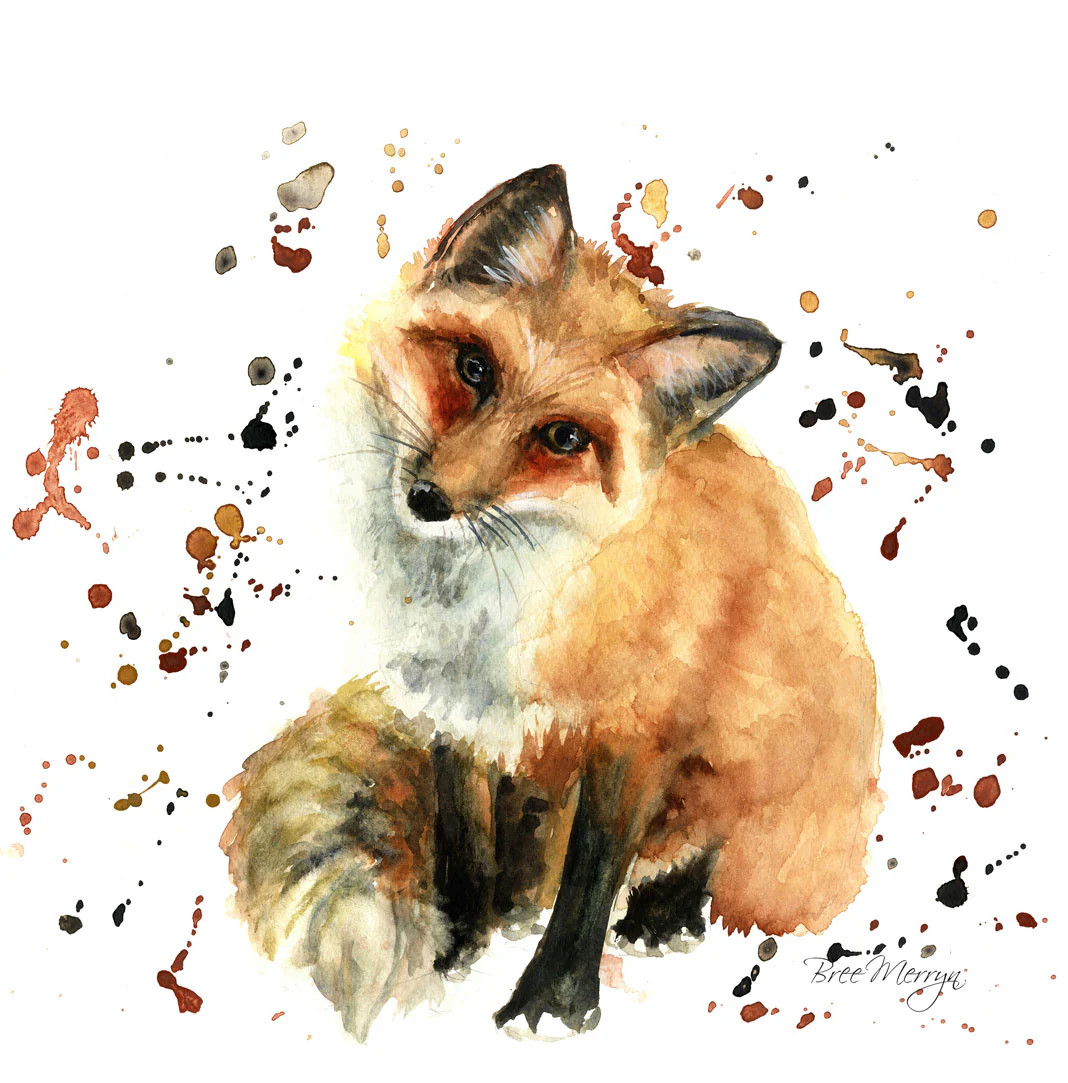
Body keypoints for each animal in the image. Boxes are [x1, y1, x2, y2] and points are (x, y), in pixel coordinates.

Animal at [221, 164, 882, 1039]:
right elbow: (464, 838)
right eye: (474, 368)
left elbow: (590, 877)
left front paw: (555, 1000)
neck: (484, 611)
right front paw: (457, 943)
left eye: (563, 438)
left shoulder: (634, 732)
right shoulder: (452, 710)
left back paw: (667, 908)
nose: (431, 499)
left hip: (772, 765)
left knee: (713, 847)